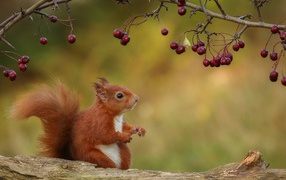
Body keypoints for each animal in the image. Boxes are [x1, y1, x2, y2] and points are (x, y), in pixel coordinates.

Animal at [10, 78, 146, 169]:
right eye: (119, 95)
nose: (137, 98)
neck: (114, 115)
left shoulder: (121, 123)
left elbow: (126, 127)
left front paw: (138, 128)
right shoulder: (98, 122)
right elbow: (104, 135)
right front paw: (122, 136)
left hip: (124, 153)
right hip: (92, 156)